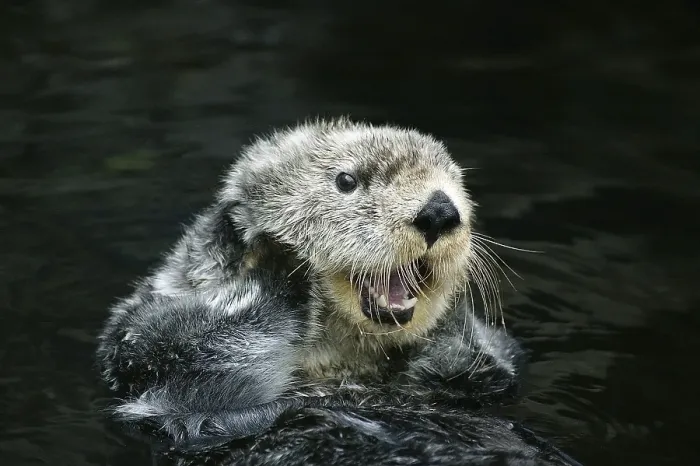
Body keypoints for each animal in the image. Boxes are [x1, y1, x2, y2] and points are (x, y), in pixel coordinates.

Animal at [96, 118, 581, 465]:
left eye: (455, 183)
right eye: (346, 181)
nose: (440, 211)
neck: (341, 367)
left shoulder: (493, 376)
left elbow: (493, 367)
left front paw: (455, 326)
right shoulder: (148, 354)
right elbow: (208, 357)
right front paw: (277, 257)